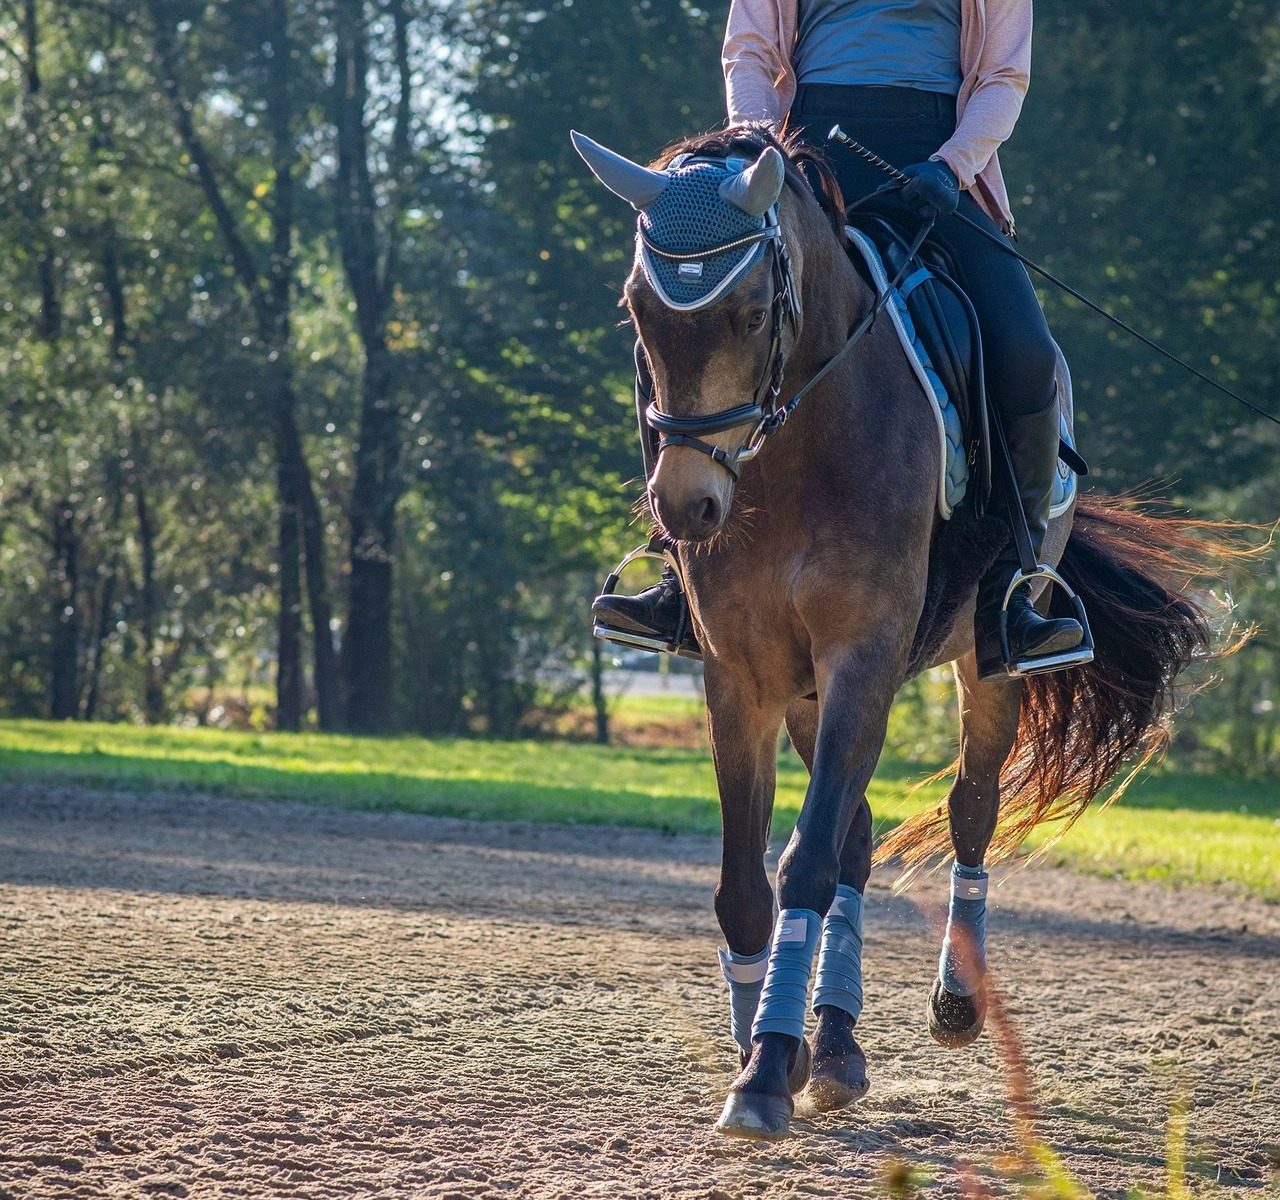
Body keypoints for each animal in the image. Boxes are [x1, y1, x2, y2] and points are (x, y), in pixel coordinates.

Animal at [573, 124, 1228, 1141]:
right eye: (639, 309)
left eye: (753, 312)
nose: (686, 507)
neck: (794, 458)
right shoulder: (740, 677)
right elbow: (745, 883)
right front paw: (766, 1048)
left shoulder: (864, 657)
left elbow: (803, 863)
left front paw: (768, 1072)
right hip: (808, 692)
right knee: (857, 834)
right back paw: (835, 1046)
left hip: (982, 665)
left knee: (968, 810)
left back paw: (950, 1002)